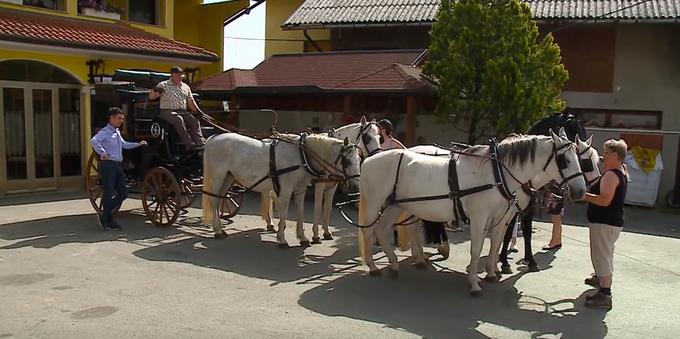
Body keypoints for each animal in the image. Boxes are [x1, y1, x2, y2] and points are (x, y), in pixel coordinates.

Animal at [202, 133, 362, 247]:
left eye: (359, 160)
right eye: (347, 161)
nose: (356, 185)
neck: (301, 156)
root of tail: (212, 138)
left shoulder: (300, 189)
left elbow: (300, 211)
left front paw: (302, 237)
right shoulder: (286, 189)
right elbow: (284, 211)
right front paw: (282, 239)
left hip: (228, 178)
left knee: (219, 201)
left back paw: (220, 229)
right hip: (218, 176)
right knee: (214, 200)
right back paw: (218, 231)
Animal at [260, 115, 382, 243]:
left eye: (380, 137)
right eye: (367, 137)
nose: (378, 154)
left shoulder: (333, 184)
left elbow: (327, 207)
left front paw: (327, 232)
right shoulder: (320, 184)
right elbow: (318, 207)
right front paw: (316, 235)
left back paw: (274, 224)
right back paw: (273, 223)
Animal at [356, 129, 584, 294]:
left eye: (579, 157)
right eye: (564, 160)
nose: (581, 191)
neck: (496, 173)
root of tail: (368, 160)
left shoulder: (499, 217)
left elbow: (495, 244)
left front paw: (492, 273)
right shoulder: (479, 217)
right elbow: (477, 248)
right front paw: (474, 283)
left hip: (397, 205)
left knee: (382, 229)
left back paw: (395, 264)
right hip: (377, 202)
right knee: (368, 230)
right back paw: (373, 267)